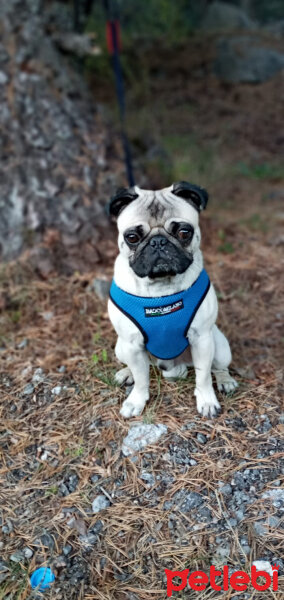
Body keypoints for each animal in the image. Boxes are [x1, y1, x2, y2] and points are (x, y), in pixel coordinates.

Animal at [107, 180, 236, 420]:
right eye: (132, 237)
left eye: (184, 232)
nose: (158, 242)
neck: (160, 288)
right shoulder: (132, 343)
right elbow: (141, 378)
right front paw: (137, 400)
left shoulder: (202, 339)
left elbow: (203, 376)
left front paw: (207, 400)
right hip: (121, 347)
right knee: (142, 367)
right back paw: (127, 372)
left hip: (220, 345)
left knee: (217, 367)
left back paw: (226, 380)